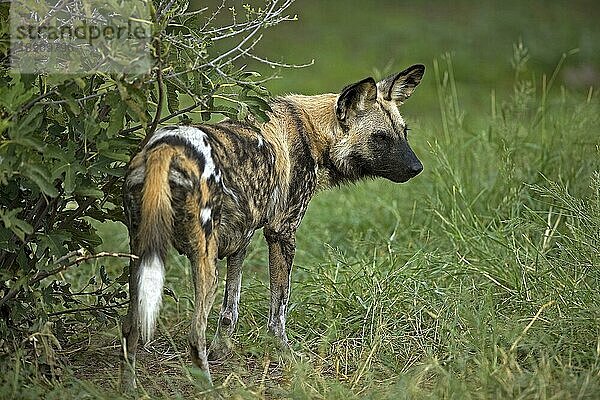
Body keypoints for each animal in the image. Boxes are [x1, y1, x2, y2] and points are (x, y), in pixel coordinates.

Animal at [119, 64, 424, 386]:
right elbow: (279, 309)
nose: (417, 168)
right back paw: (208, 388)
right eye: (380, 138)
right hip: (205, 264)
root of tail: (165, 149)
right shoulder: (281, 234)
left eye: (403, 133)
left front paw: (222, 351)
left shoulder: (240, 241)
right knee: (194, 336)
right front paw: (285, 354)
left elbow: (230, 310)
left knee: (131, 329)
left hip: (141, 255)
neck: (314, 133)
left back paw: (131, 389)